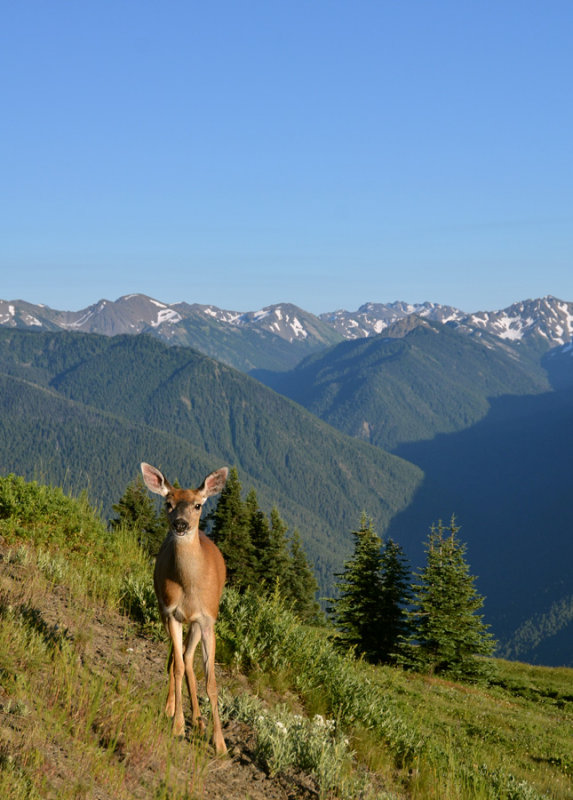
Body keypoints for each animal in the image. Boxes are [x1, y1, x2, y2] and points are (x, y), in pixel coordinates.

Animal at [141, 462, 230, 756]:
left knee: (189, 659)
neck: (190, 585)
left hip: (196, 624)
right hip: (162, 610)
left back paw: (199, 720)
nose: (180, 524)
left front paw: (220, 743)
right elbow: (177, 666)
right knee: (175, 659)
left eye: (198, 505)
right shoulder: (172, 613)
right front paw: (178, 726)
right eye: (168, 503)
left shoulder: (208, 619)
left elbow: (211, 682)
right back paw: (173, 709)